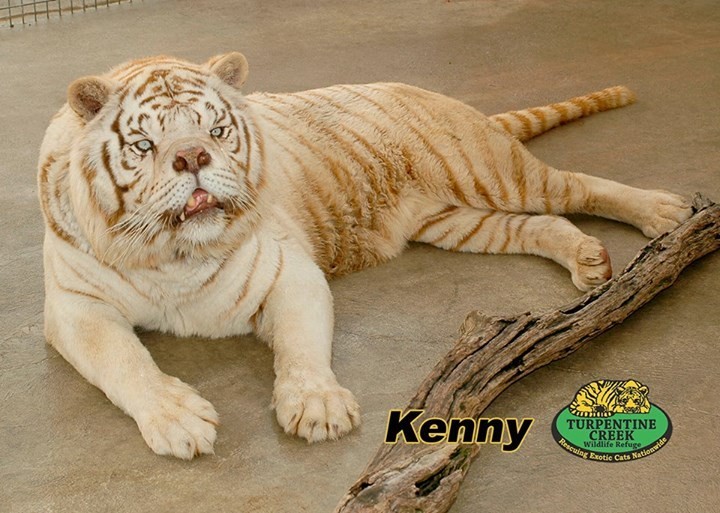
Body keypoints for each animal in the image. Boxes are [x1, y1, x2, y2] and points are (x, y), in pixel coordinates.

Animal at [38, 52, 691, 459]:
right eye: (144, 144)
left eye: (216, 131)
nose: (193, 157)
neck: (173, 253)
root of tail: (426, 91)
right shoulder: (75, 306)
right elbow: (123, 361)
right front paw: (178, 421)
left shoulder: (288, 272)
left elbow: (301, 345)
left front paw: (317, 406)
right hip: (456, 220)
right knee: (544, 224)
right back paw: (586, 259)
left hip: (491, 173)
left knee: (576, 186)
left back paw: (665, 212)